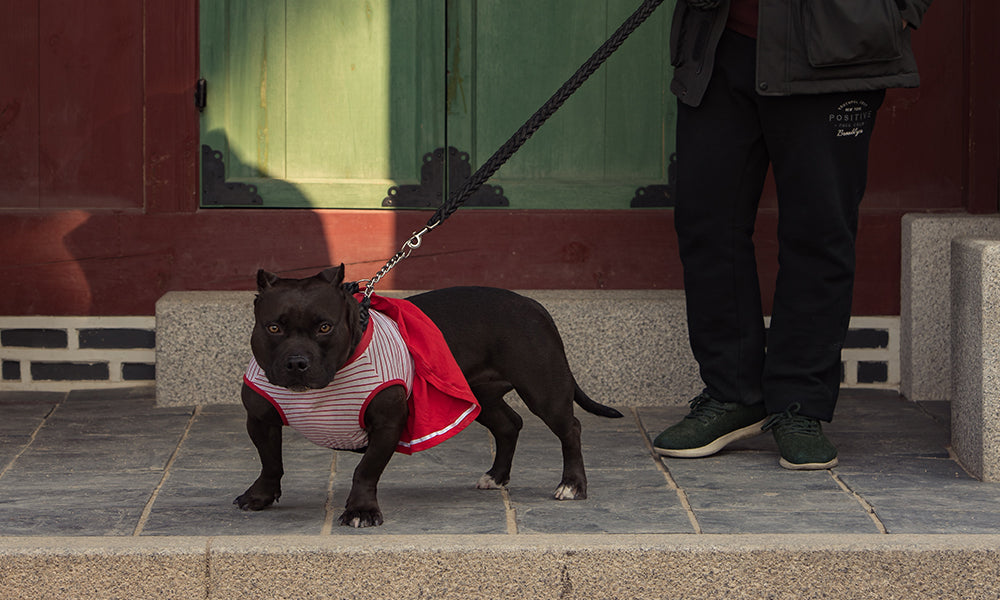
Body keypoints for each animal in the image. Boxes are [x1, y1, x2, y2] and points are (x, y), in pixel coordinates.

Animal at [237, 266, 620, 524]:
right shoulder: (259, 420)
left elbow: (365, 469)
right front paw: (261, 495)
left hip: (544, 391)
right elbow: (270, 462)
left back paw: (572, 485)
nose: (296, 363)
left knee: (570, 429)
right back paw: (496, 476)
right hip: (476, 396)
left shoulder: (387, 424)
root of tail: (532, 304)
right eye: (273, 327)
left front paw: (361, 510)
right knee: (509, 424)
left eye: (325, 327)